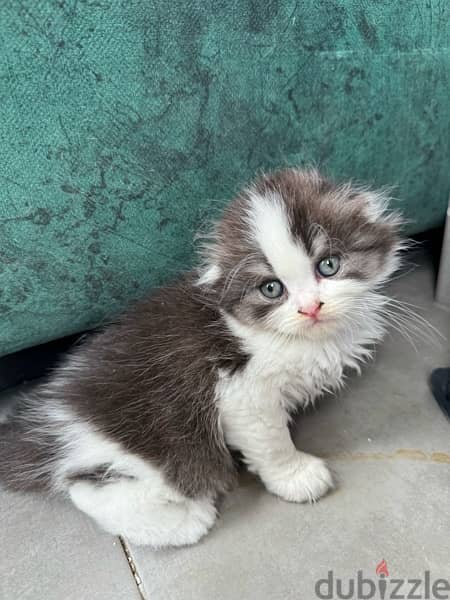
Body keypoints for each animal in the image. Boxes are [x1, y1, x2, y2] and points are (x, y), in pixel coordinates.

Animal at [0, 169, 400, 548]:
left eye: (328, 266)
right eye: (272, 289)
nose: (310, 308)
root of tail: (50, 415)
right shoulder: (241, 394)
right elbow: (271, 440)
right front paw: (296, 476)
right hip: (153, 449)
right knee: (88, 489)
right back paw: (189, 520)